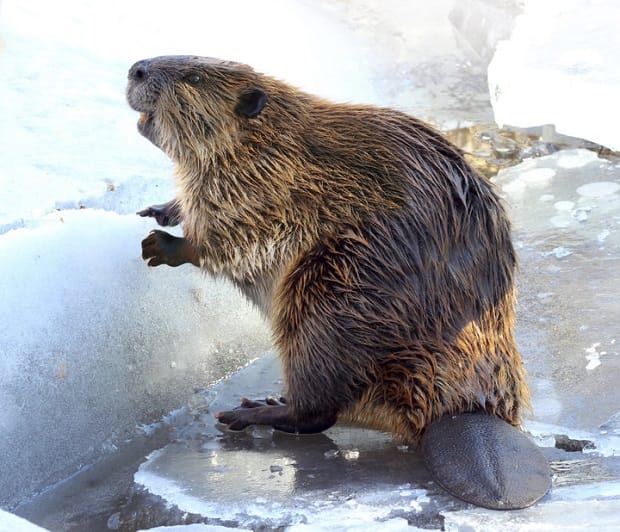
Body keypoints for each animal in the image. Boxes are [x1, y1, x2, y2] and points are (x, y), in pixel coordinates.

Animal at [127, 56, 552, 510]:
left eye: (194, 77)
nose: (135, 70)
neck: (267, 141)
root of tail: (466, 413)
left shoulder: (263, 186)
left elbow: (230, 237)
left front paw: (162, 245)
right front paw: (158, 209)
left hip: (325, 297)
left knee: (317, 412)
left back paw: (252, 411)